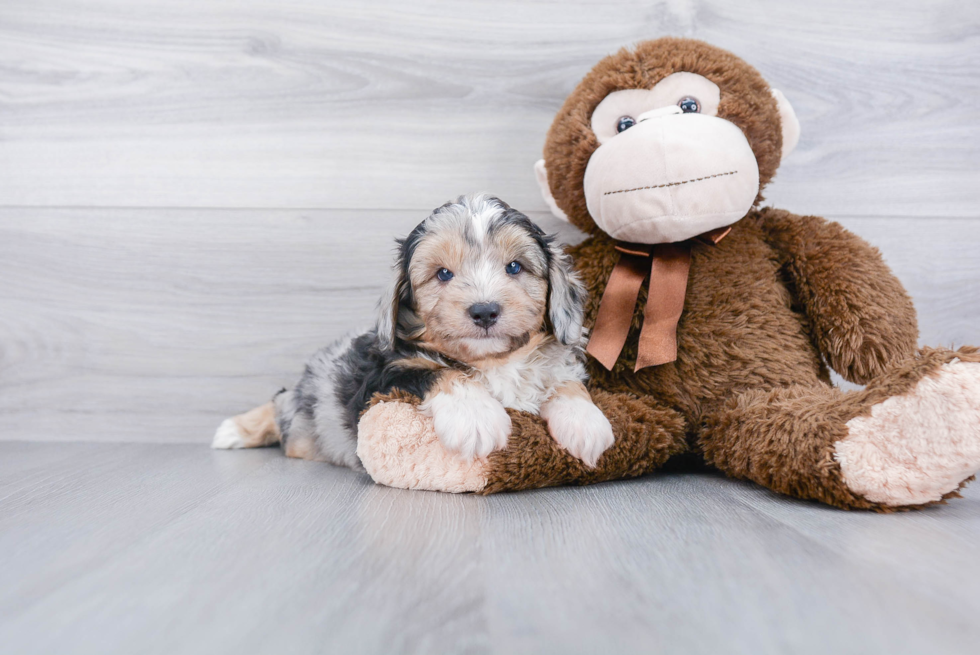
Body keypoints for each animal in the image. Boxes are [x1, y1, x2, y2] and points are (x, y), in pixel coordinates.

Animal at [212, 195, 612, 472]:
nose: (484, 310)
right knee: (280, 402)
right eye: (443, 274)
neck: (494, 362)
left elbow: (566, 382)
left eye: (515, 267)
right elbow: (437, 370)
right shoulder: (380, 376)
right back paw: (232, 430)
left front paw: (585, 423)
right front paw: (476, 417)